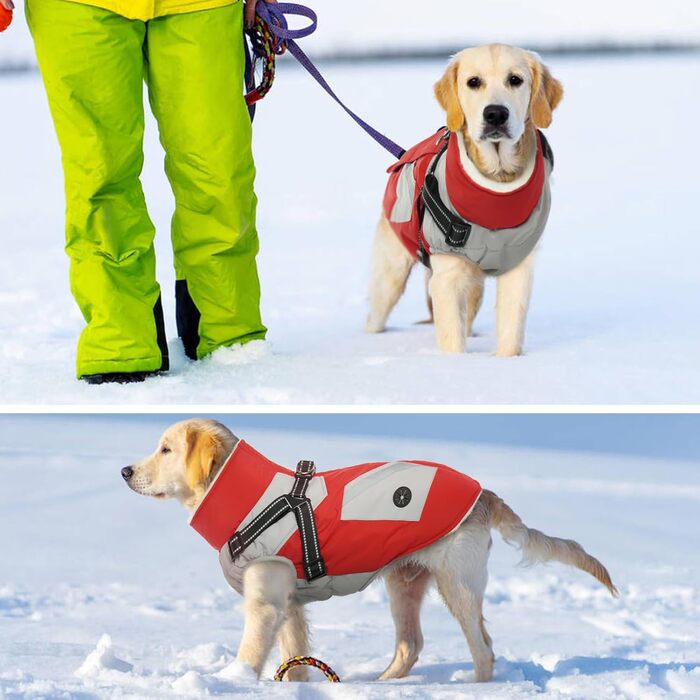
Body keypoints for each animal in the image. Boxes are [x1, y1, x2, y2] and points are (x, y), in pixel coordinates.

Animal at [123, 418, 616, 680]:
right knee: (411, 645)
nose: (126, 471)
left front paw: (236, 682)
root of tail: (483, 493)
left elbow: (249, 655)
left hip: (457, 584)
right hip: (405, 583)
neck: (252, 499)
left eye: (165, 449)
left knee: (484, 649)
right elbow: (293, 658)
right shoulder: (289, 604)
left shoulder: (265, 603)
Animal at [366, 45, 564, 356]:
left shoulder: (519, 268)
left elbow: (511, 331)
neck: (497, 185)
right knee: (376, 312)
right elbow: (452, 338)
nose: (495, 114)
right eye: (474, 82)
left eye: (515, 80)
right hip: (391, 273)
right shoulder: (447, 276)